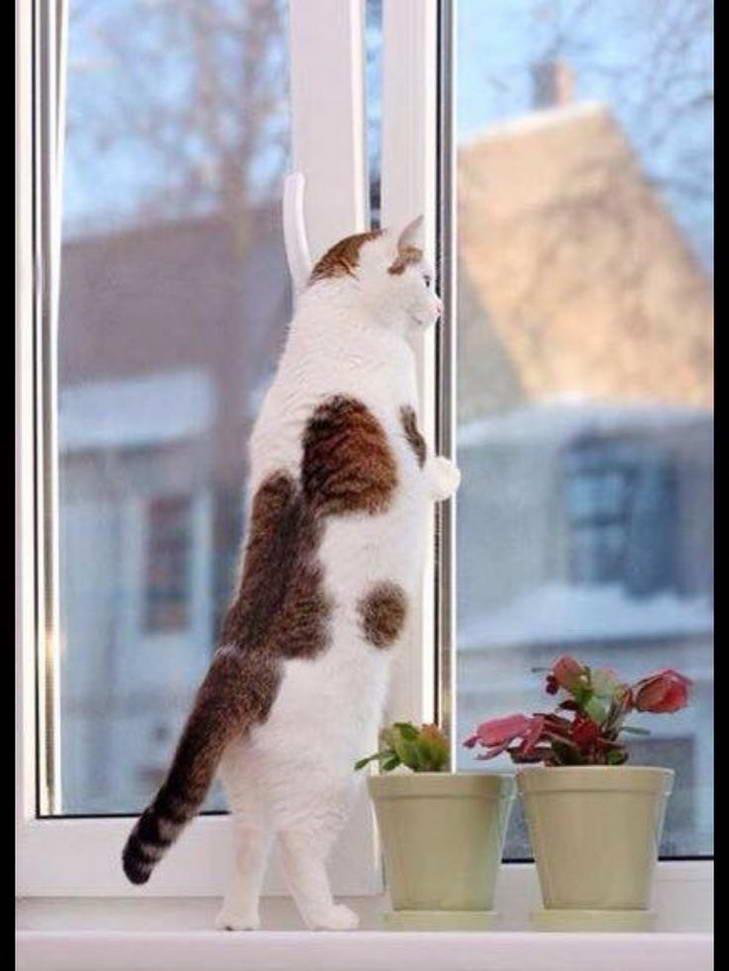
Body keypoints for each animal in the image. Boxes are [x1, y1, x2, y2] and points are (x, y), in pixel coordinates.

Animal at [121, 216, 461, 930]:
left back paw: (238, 921)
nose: (441, 307)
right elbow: (428, 473)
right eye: (424, 278)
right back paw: (329, 918)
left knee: (250, 843)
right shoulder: (409, 443)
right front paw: (449, 473)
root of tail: (236, 667)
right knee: (297, 847)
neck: (336, 329)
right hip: (331, 772)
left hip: (246, 781)